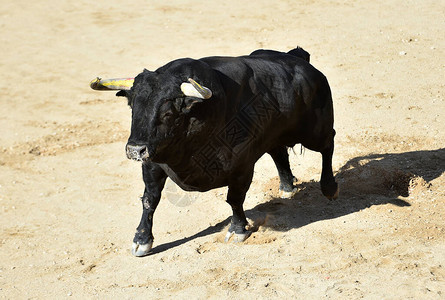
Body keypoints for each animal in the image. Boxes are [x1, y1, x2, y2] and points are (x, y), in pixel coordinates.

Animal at [92, 47, 338, 255]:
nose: (135, 150)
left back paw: (329, 188)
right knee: (278, 151)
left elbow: (234, 199)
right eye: (133, 108)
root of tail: (297, 58)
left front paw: (238, 229)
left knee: (328, 144)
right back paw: (287, 187)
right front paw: (142, 240)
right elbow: (149, 200)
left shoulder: (241, 166)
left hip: (315, 131)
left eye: (167, 113)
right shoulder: (152, 164)